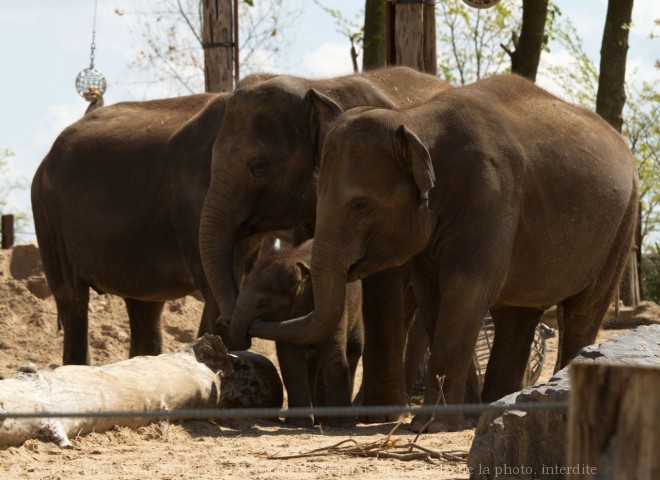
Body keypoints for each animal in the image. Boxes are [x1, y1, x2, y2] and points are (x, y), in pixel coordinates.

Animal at [235, 240, 364, 428]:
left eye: (262, 304)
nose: (251, 327)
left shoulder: (337, 309)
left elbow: (332, 353)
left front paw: (342, 425)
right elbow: (290, 357)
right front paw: (298, 423)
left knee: (353, 352)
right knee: (312, 364)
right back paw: (318, 420)